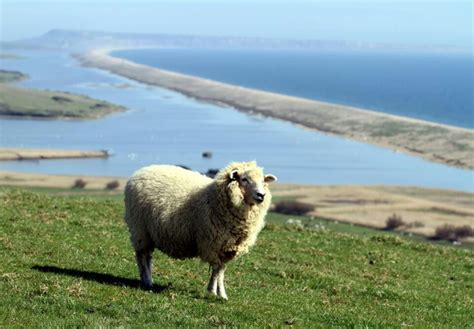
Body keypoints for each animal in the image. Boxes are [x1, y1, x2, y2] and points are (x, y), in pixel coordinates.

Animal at [124, 160, 276, 298]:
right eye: (244, 179)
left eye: (263, 181)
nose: (261, 195)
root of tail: (140, 172)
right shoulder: (213, 244)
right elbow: (216, 270)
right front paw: (212, 292)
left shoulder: (227, 248)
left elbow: (221, 271)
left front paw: (222, 294)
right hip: (139, 229)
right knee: (142, 257)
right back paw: (146, 281)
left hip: (148, 233)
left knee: (148, 257)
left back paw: (148, 280)